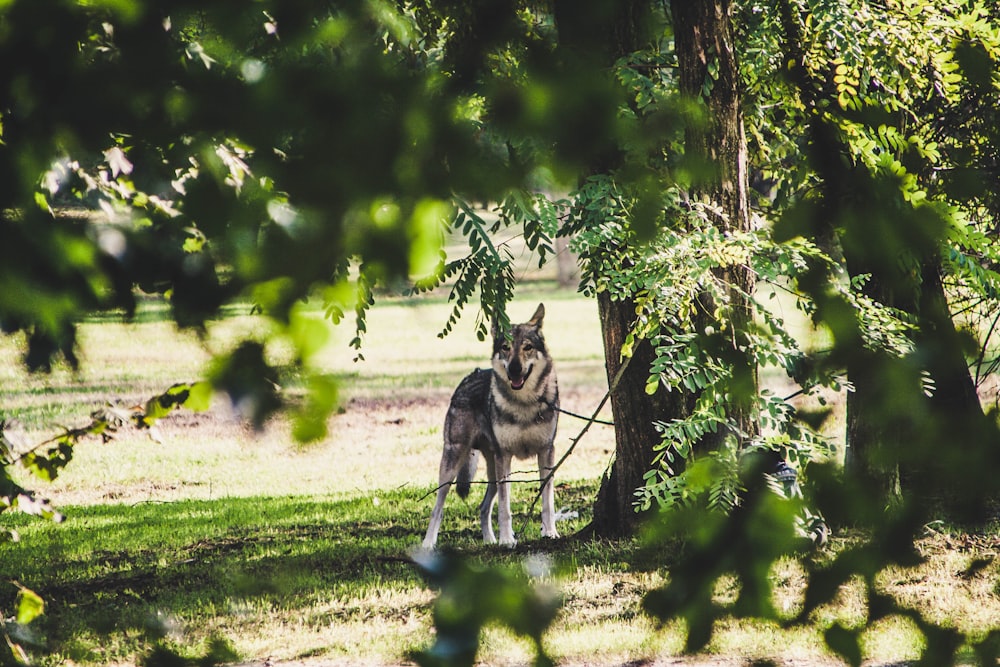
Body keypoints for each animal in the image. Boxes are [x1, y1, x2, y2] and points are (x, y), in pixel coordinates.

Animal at [422, 302, 560, 548]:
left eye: (527, 347)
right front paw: (506, 540)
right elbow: (505, 508)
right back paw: (428, 544)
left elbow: (547, 501)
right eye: (505, 347)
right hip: (454, 463)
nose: (514, 369)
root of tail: (468, 377)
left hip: (493, 472)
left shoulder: (546, 452)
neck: (524, 404)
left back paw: (489, 540)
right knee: (438, 508)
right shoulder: (504, 456)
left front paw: (550, 532)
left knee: (483, 507)